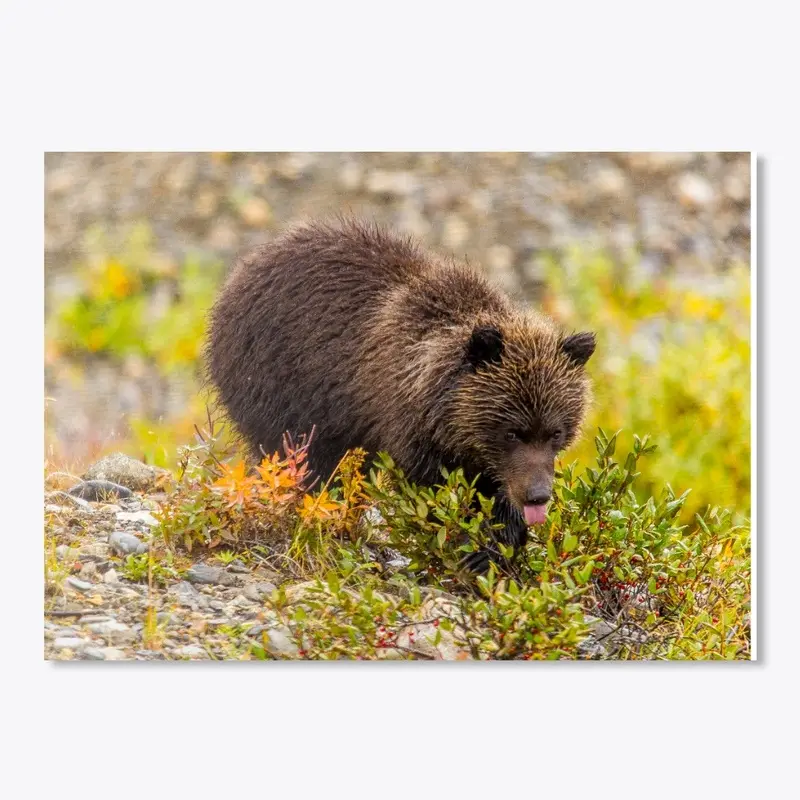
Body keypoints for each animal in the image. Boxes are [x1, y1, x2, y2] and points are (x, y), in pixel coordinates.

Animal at [206, 219, 592, 568]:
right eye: (513, 432)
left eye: (555, 432)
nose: (538, 495)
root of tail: (241, 272)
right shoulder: (405, 425)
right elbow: (430, 492)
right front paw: (471, 545)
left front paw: (497, 544)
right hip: (280, 387)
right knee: (305, 462)